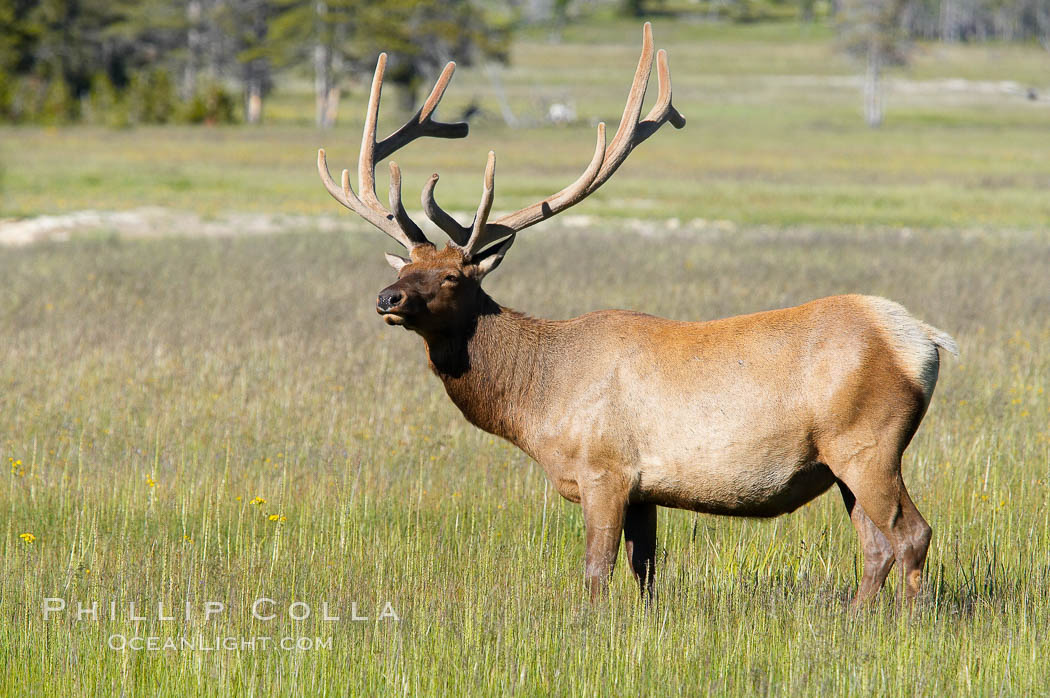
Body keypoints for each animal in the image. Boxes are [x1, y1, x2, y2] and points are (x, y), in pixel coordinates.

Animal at [315, 25, 957, 604]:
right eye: (405, 268)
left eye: (452, 276)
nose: (387, 299)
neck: (537, 400)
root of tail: (925, 341)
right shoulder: (646, 490)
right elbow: (644, 570)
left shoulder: (605, 471)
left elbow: (596, 573)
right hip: (843, 461)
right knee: (874, 545)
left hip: (868, 442)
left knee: (913, 534)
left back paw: (911, 624)